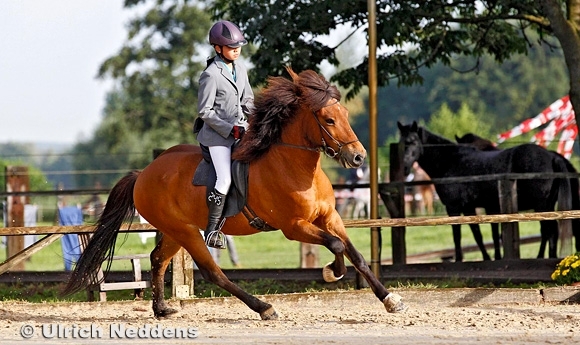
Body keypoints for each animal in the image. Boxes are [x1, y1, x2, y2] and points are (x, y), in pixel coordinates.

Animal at [62, 67, 408, 318]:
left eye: (346, 115)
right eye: (329, 119)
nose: (359, 157)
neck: (295, 166)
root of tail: (143, 174)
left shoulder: (330, 217)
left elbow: (356, 254)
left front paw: (390, 299)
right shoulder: (293, 227)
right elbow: (336, 246)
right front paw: (331, 272)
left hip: (174, 231)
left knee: (158, 259)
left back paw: (161, 309)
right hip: (187, 232)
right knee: (213, 272)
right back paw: (263, 307)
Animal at [398, 121, 576, 260]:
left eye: (412, 141)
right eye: (401, 142)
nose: (405, 168)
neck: (451, 161)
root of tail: (551, 156)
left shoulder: (454, 207)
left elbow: (458, 236)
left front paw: (461, 260)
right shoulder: (470, 208)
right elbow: (478, 234)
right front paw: (488, 257)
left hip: (541, 205)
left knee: (547, 230)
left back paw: (541, 257)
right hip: (548, 205)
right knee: (552, 231)